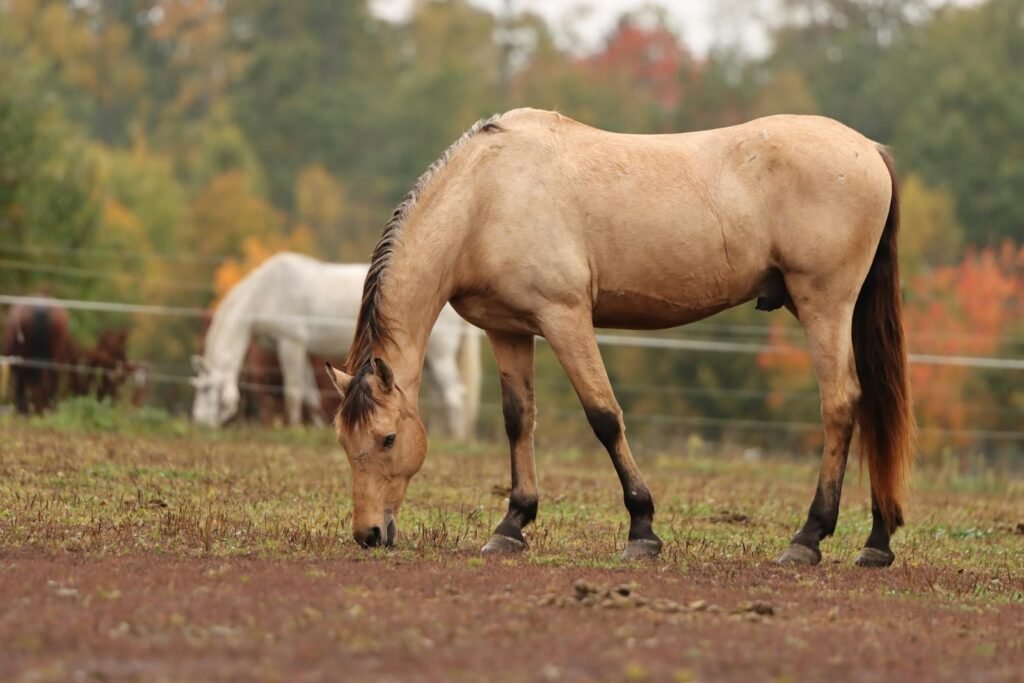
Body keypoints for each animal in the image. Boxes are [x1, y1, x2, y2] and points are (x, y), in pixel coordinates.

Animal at [192, 253, 482, 437]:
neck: (266, 291)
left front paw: (292, 427)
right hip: (430, 360)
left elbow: (294, 392)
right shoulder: (302, 350)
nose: (200, 422)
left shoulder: (291, 344)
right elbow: (309, 396)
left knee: (454, 395)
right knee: (441, 397)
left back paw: (455, 438)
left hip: (440, 358)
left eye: (206, 389)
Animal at [324, 108, 914, 568]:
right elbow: (519, 420)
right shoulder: (508, 329)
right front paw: (512, 524)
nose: (368, 534)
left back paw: (809, 537)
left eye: (387, 439)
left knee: (840, 405)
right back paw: (877, 541)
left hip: (824, 306)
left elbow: (604, 417)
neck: (486, 196)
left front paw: (642, 529)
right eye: (344, 442)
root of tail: (868, 149)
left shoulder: (565, 319)